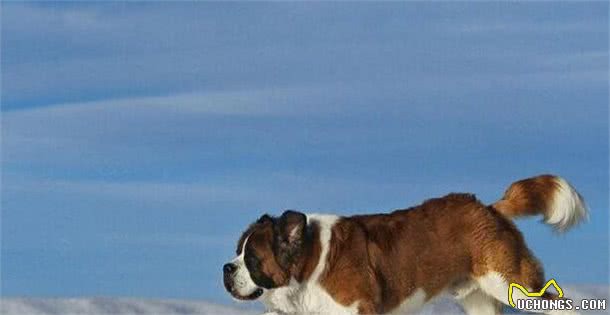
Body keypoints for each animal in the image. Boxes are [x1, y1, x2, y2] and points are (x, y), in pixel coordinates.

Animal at [222, 175, 584, 315]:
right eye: (238, 252)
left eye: (251, 258)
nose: (226, 268)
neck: (310, 264)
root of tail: (489, 208)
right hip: (479, 297)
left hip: (509, 282)